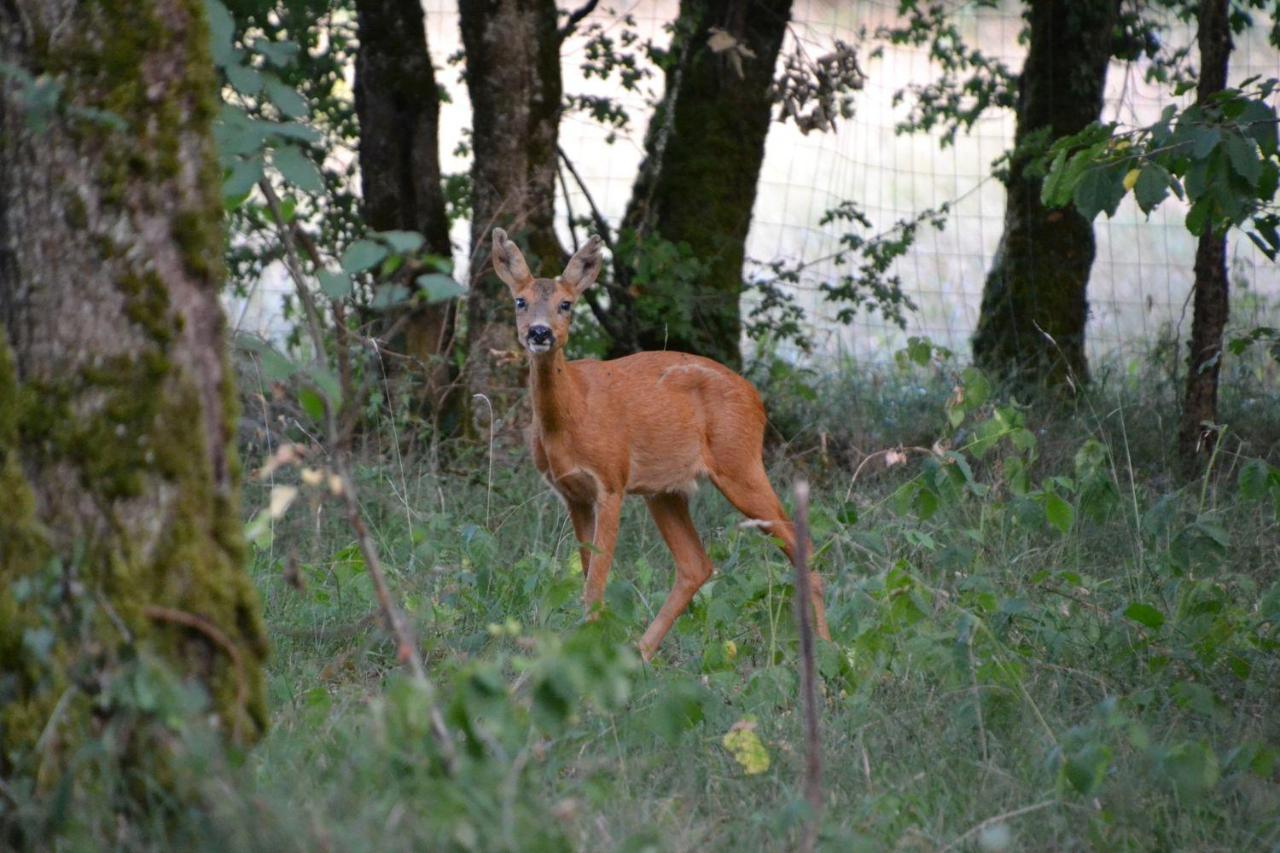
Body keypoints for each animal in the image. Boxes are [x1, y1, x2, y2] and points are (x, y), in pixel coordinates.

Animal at [488, 227, 829, 655]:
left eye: (566, 304)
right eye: (520, 301)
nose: (539, 332)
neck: (570, 418)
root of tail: (755, 397)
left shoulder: (611, 481)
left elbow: (596, 584)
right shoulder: (572, 494)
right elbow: (586, 575)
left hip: (740, 463)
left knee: (802, 545)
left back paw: (832, 650)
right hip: (666, 490)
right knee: (696, 565)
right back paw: (642, 653)